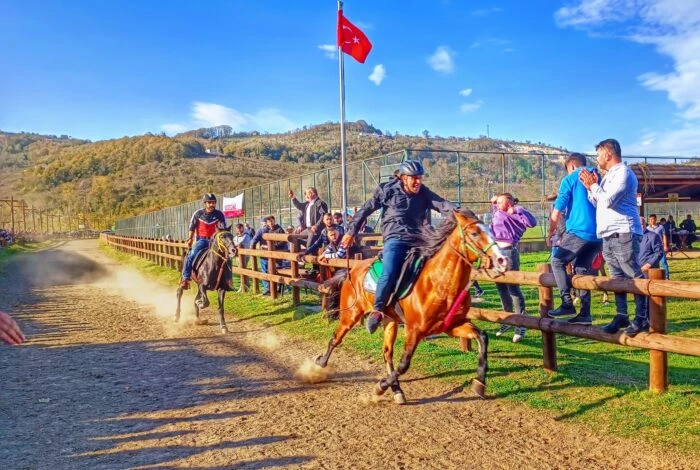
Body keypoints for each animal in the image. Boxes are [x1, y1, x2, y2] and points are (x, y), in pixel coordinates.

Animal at [314, 209, 506, 404]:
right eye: (474, 233)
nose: (501, 260)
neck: (440, 284)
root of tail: (351, 270)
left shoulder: (451, 326)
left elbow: (482, 337)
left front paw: (479, 382)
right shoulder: (414, 330)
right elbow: (404, 364)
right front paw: (380, 387)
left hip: (390, 320)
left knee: (387, 352)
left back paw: (397, 389)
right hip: (350, 315)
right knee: (336, 339)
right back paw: (320, 363)